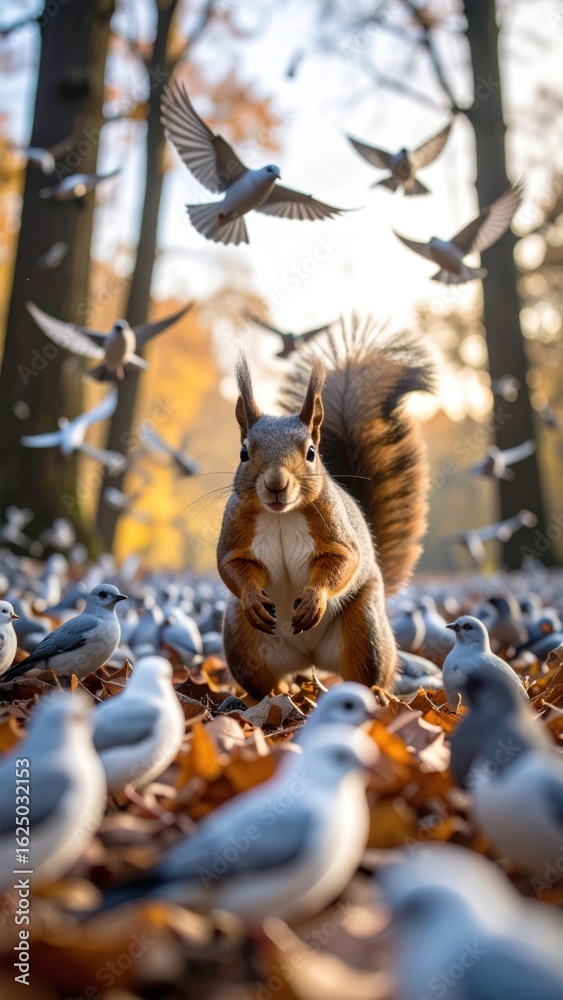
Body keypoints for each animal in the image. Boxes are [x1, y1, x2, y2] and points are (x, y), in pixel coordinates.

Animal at [217, 318, 434, 699]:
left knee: (368, 671)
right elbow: (231, 564)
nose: (276, 484)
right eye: (244, 452)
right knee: (264, 682)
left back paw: (377, 694)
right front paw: (252, 597)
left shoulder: (333, 525)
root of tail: (309, 659)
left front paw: (314, 598)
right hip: (242, 638)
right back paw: (260, 699)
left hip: (365, 626)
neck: (281, 517)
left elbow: (343, 559)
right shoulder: (235, 530)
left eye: (310, 452)